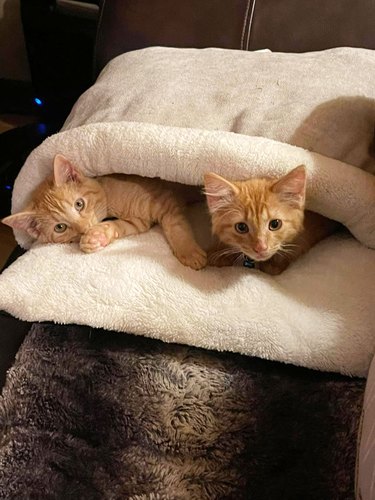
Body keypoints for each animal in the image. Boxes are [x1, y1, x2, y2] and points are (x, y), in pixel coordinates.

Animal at [2, 154, 207, 270]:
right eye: (60, 227)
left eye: (79, 204)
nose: (84, 228)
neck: (110, 201)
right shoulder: (138, 222)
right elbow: (119, 226)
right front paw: (96, 237)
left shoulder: (164, 200)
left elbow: (176, 226)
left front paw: (189, 253)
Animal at [204, 167, 340, 278]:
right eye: (241, 227)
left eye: (275, 224)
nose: (261, 248)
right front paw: (218, 254)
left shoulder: (308, 234)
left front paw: (275, 264)